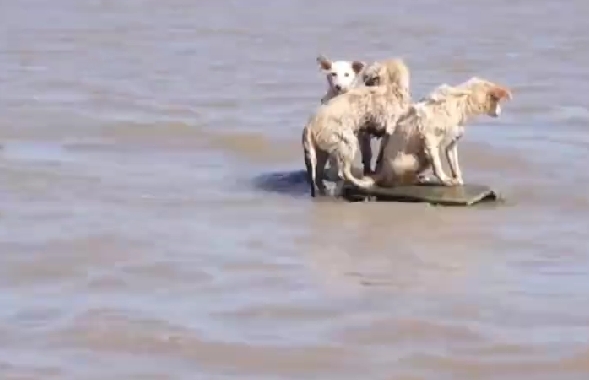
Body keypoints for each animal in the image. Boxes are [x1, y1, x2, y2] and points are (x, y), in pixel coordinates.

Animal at [350, 77, 510, 189]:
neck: (461, 100)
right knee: (395, 180)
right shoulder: (429, 138)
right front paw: (445, 180)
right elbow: (438, 165)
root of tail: (382, 172)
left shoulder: (451, 144)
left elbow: (455, 164)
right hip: (413, 158)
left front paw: (457, 179)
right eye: (498, 102)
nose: (500, 113)